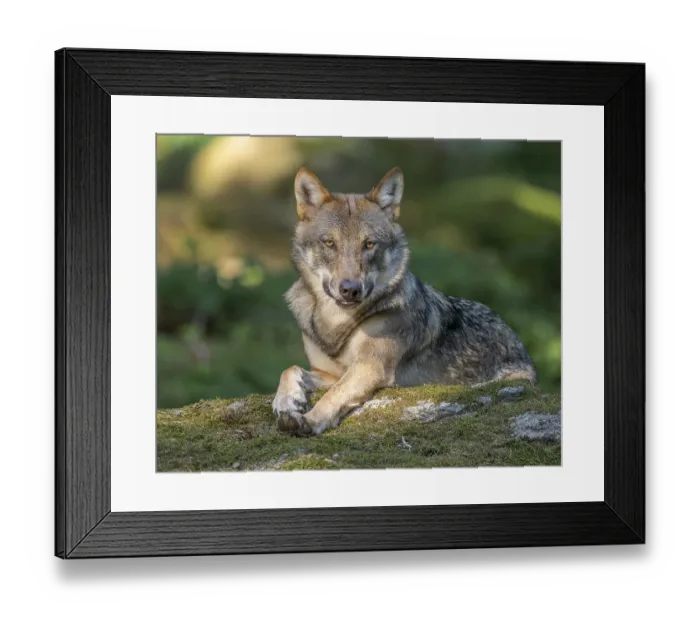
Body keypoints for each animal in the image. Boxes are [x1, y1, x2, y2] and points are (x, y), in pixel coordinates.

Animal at [273, 167, 537, 436]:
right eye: (329, 243)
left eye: (369, 244)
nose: (350, 290)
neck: (336, 326)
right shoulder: (328, 373)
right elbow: (289, 369)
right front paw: (286, 402)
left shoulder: (370, 367)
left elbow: (334, 394)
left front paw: (310, 420)